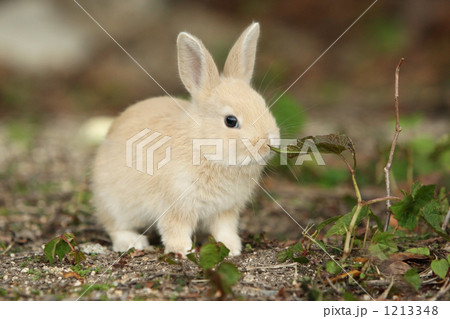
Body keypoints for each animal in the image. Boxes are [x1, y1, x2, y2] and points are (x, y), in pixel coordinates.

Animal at [93, 21, 280, 258]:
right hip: (116, 204)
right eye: (231, 121)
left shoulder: (225, 211)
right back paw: (133, 242)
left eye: (263, 105)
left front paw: (232, 248)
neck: (202, 146)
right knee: (114, 226)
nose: (269, 143)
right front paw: (183, 251)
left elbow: (224, 230)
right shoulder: (176, 206)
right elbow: (175, 230)